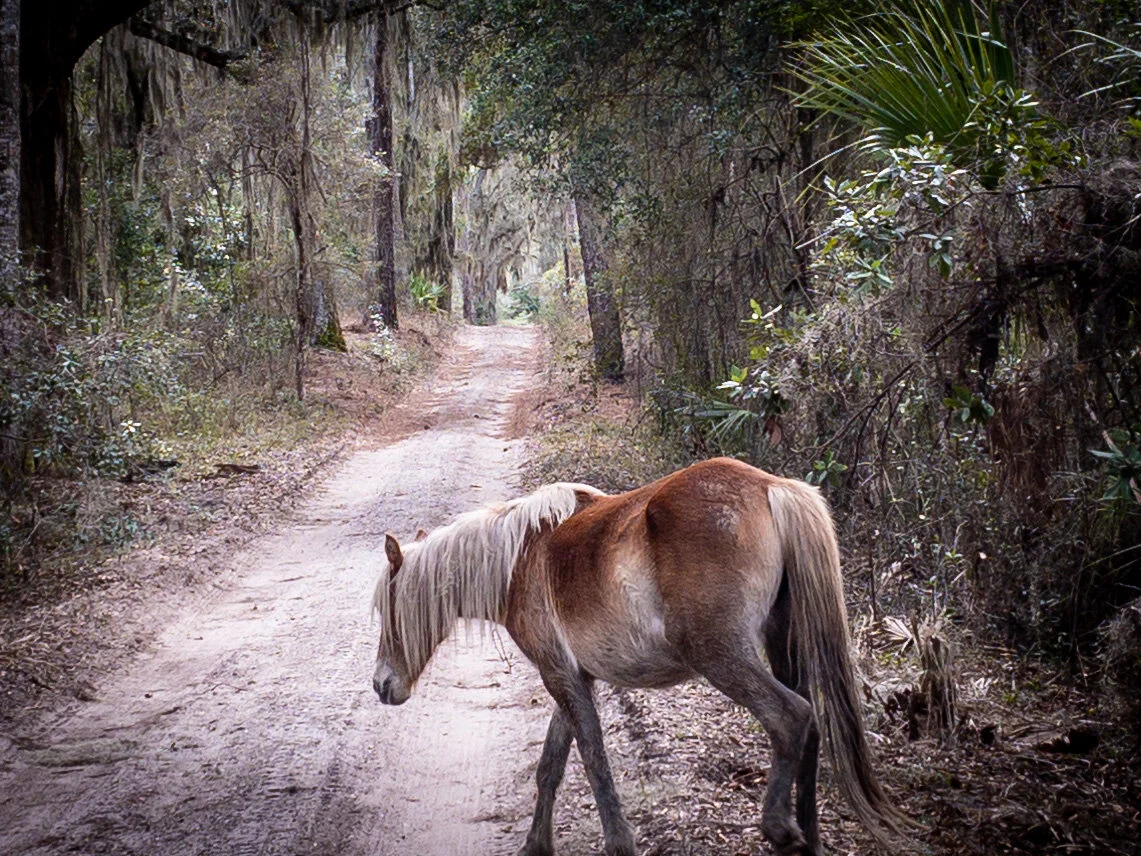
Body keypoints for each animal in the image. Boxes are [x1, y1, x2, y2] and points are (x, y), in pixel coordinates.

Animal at [371, 457, 907, 856]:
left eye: (388, 611)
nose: (380, 685)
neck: (518, 557)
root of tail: (770, 486)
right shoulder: (576, 677)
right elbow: (552, 766)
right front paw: (535, 845)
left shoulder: (558, 675)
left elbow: (593, 759)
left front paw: (618, 841)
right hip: (780, 644)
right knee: (812, 723)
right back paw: (807, 837)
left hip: (722, 656)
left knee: (791, 716)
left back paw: (778, 827)